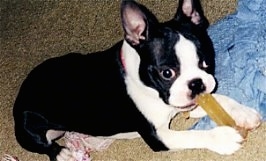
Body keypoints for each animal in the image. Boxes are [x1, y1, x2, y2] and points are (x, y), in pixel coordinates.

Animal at [13, 0, 260, 160]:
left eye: (206, 62)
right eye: (166, 73)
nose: (196, 84)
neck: (149, 88)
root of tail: (23, 91)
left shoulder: (188, 102)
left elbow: (218, 98)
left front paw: (243, 113)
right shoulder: (159, 136)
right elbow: (192, 135)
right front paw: (223, 138)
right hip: (25, 128)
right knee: (44, 145)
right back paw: (63, 153)